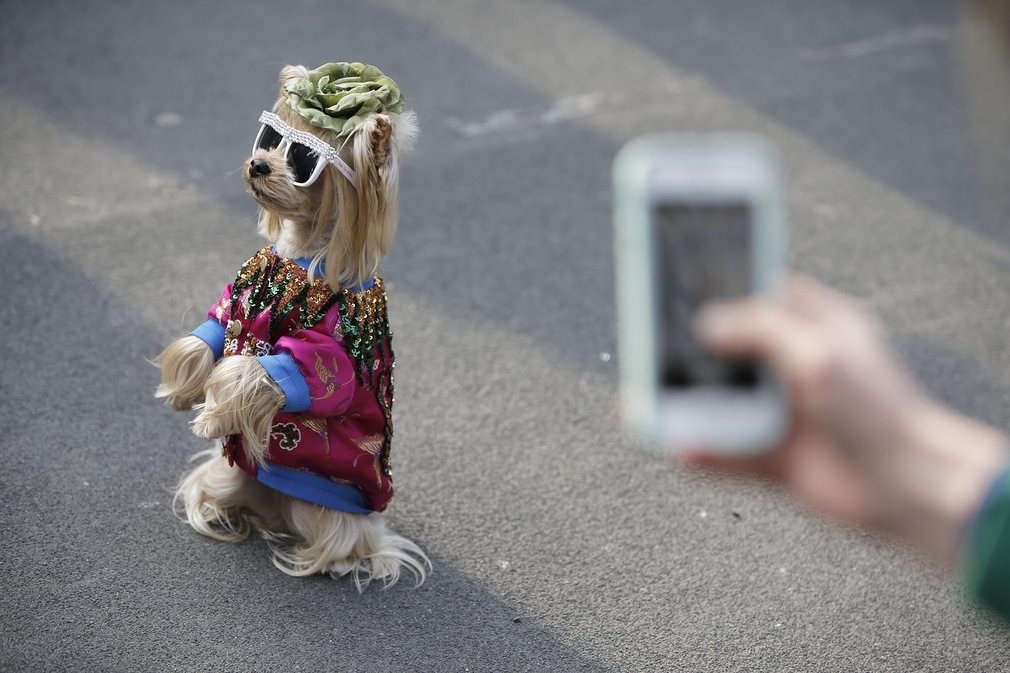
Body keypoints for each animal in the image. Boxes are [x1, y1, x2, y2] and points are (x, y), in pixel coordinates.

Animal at [152, 62, 426, 586]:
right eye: (270, 140)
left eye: (303, 162)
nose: (258, 165)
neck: (303, 252)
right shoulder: (235, 301)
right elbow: (211, 333)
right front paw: (181, 390)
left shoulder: (330, 348)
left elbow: (280, 370)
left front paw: (212, 413)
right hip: (231, 476)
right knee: (221, 486)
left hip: (325, 512)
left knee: (341, 543)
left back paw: (316, 557)